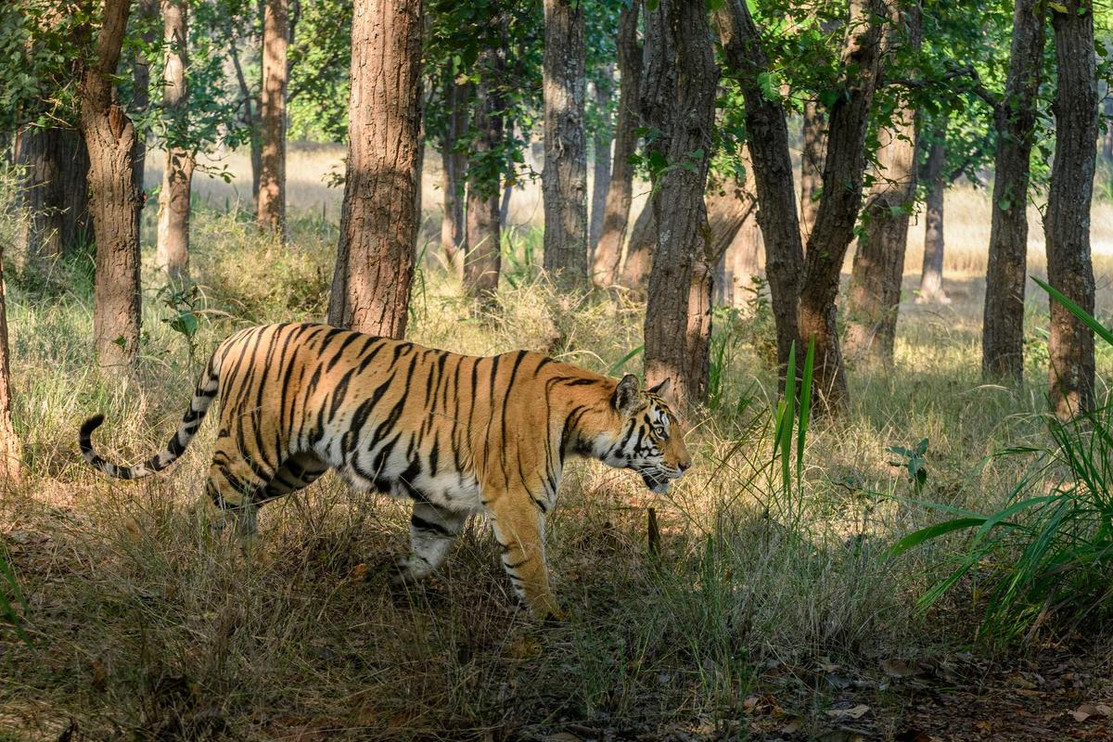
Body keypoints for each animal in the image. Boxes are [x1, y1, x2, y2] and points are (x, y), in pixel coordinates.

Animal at [79, 323, 692, 619]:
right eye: (661, 430)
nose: (687, 466)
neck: (576, 426)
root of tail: (239, 335)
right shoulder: (517, 503)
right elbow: (533, 570)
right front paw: (553, 621)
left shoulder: (442, 503)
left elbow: (426, 553)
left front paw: (389, 579)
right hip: (251, 448)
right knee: (212, 504)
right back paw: (212, 567)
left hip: (297, 464)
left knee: (241, 510)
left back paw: (248, 561)